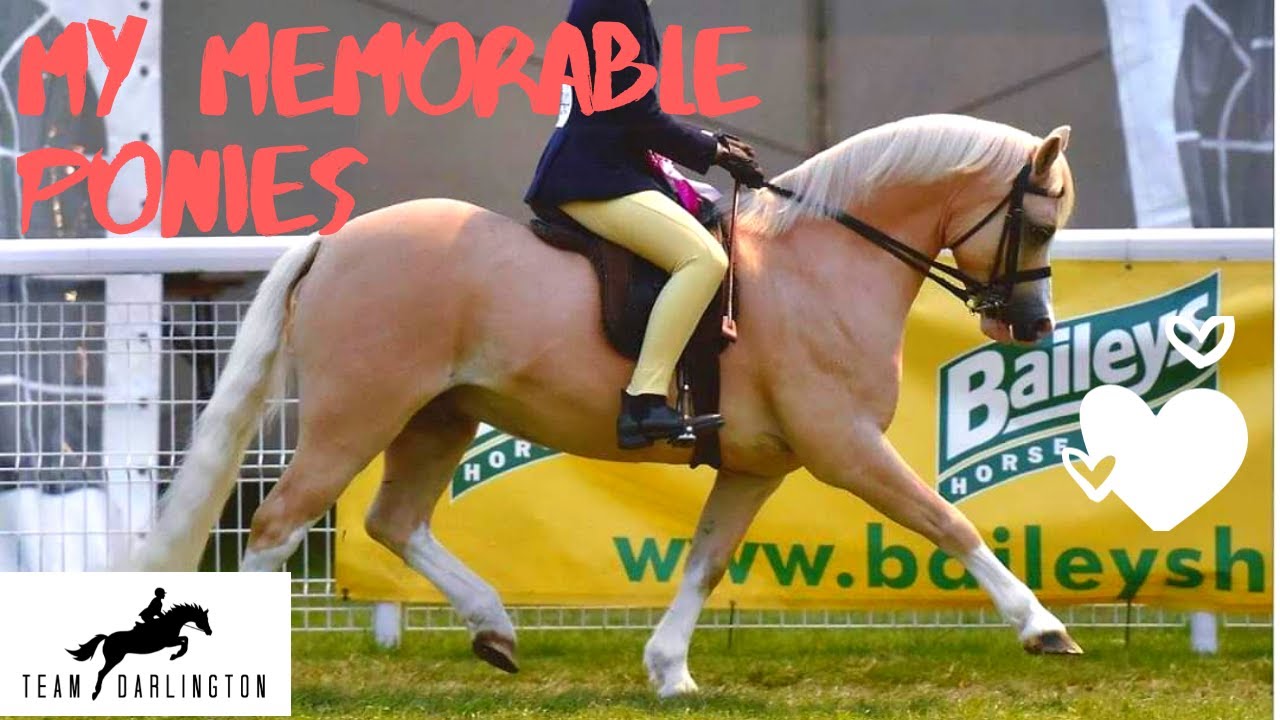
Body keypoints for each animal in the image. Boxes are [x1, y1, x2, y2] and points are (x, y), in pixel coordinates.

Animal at [67, 603, 213, 700]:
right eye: (204, 619)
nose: (210, 632)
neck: (170, 623)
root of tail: (107, 638)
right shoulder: (168, 642)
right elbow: (185, 641)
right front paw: (175, 655)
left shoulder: (171, 641)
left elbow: (185, 639)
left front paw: (175, 655)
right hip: (114, 659)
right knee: (101, 673)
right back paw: (95, 694)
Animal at [125, 113, 1080, 697]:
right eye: (1038, 223)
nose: (1032, 327)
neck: (819, 266)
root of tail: (335, 241)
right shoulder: (845, 447)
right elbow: (946, 521)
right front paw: (1043, 629)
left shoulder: (757, 466)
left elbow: (706, 561)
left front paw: (670, 672)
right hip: (355, 414)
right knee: (278, 526)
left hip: (438, 416)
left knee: (394, 522)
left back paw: (496, 629)